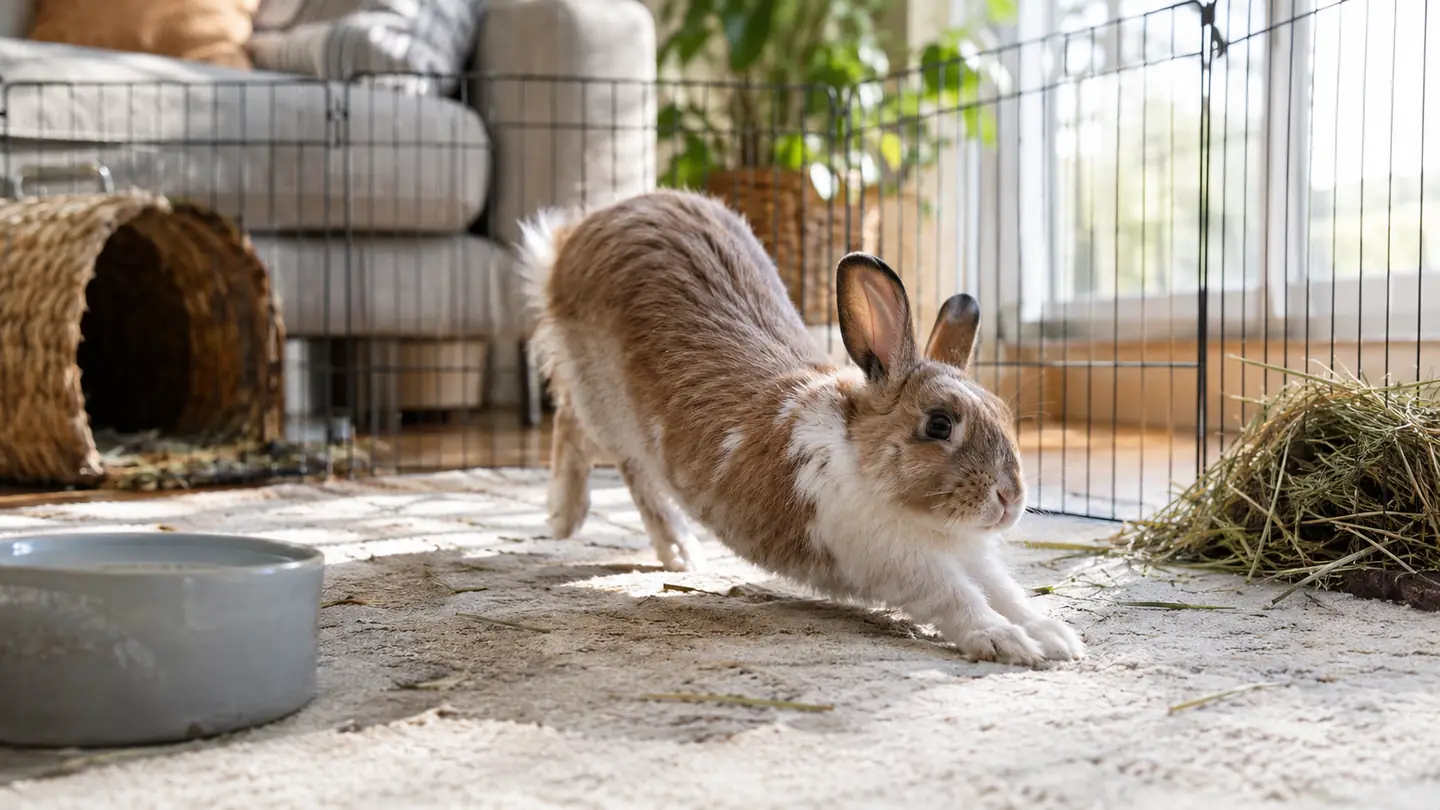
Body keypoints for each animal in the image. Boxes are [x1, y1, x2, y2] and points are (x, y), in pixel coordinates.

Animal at [517, 189, 1084, 666]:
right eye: (939, 425)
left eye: (1005, 415)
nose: (1009, 498)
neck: (859, 454)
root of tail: (580, 232)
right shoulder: (903, 562)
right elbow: (958, 598)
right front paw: (1007, 643)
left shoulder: (973, 557)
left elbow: (1006, 592)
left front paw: (1056, 637)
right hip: (606, 406)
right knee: (582, 430)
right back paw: (576, 519)